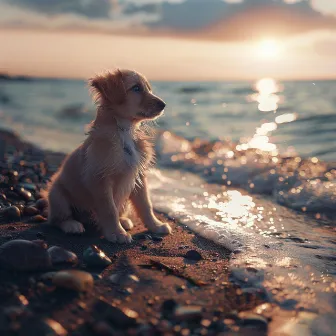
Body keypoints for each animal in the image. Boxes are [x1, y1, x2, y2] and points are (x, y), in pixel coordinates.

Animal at [45, 68, 171, 243]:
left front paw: (156, 225)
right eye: (136, 88)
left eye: (148, 88)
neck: (124, 131)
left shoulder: (138, 176)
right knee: (56, 219)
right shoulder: (100, 179)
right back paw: (72, 225)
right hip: (57, 195)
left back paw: (123, 221)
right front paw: (117, 234)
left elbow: (146, 204)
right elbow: (109, 209)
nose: (163, 105)